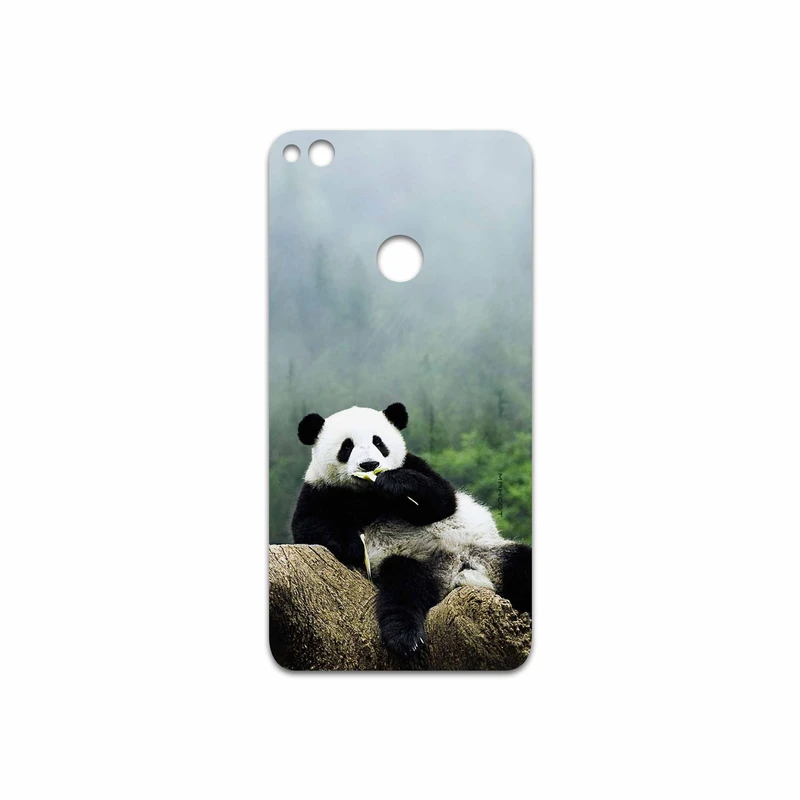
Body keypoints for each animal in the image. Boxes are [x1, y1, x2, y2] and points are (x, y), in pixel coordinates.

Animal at [291, 402, 532, 657]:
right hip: (411, 562)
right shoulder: (320, 490)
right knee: (404, 588)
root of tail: (456, 571)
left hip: (488, 551)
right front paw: (354, 546)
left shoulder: (414, 465)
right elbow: (308, 525)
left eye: (378, 442)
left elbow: (443, 500)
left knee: (521, 564)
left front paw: (394, 483)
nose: (369, 465)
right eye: (347, 446)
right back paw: (406, 638)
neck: (368, 494)